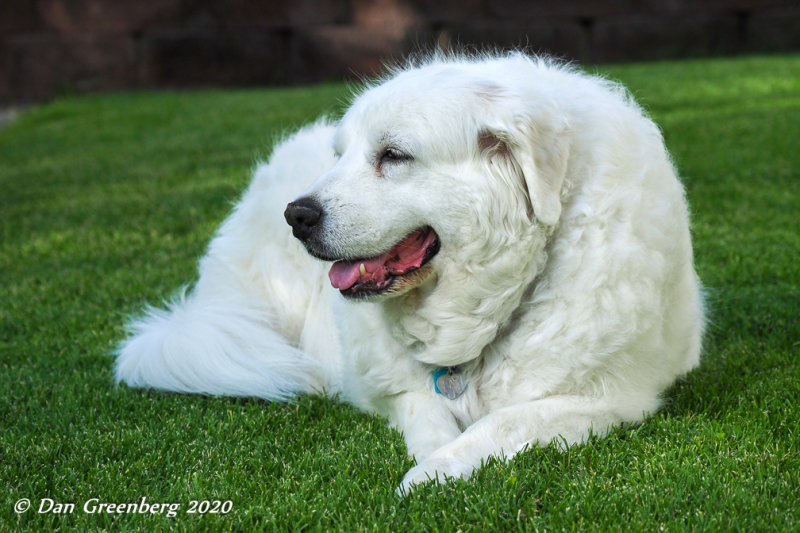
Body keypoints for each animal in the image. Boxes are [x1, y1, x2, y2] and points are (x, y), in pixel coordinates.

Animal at [115, 52, 704, 492]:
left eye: (394, 155)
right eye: (340, 155)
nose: (297, 215)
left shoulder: (613, 398)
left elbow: (506, 419)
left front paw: (435, 473)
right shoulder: (393, 388)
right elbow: (427, 412)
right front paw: (435, 459)